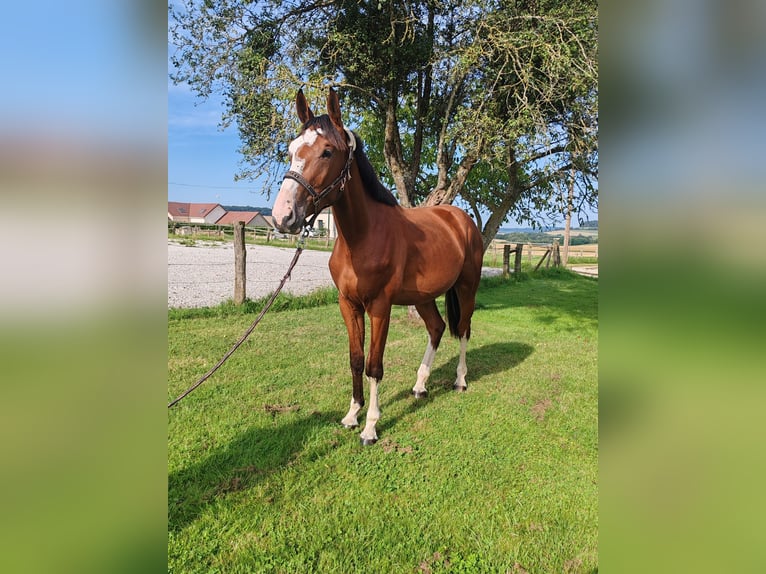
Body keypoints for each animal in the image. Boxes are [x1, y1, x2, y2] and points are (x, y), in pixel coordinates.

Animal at [272, 90, 484, 448]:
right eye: (291, 149)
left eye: (327, 151)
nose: (283, 216)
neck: (363, 237)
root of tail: (462, 219)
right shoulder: (349, 305)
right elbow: (356, 360)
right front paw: (351, 415)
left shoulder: (380, 308)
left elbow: (374, 365)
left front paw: (370, 427)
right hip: (423, 297)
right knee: (437, 328)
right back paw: (420, 386)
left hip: (467, 288)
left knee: (464, 329)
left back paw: (460, 381)